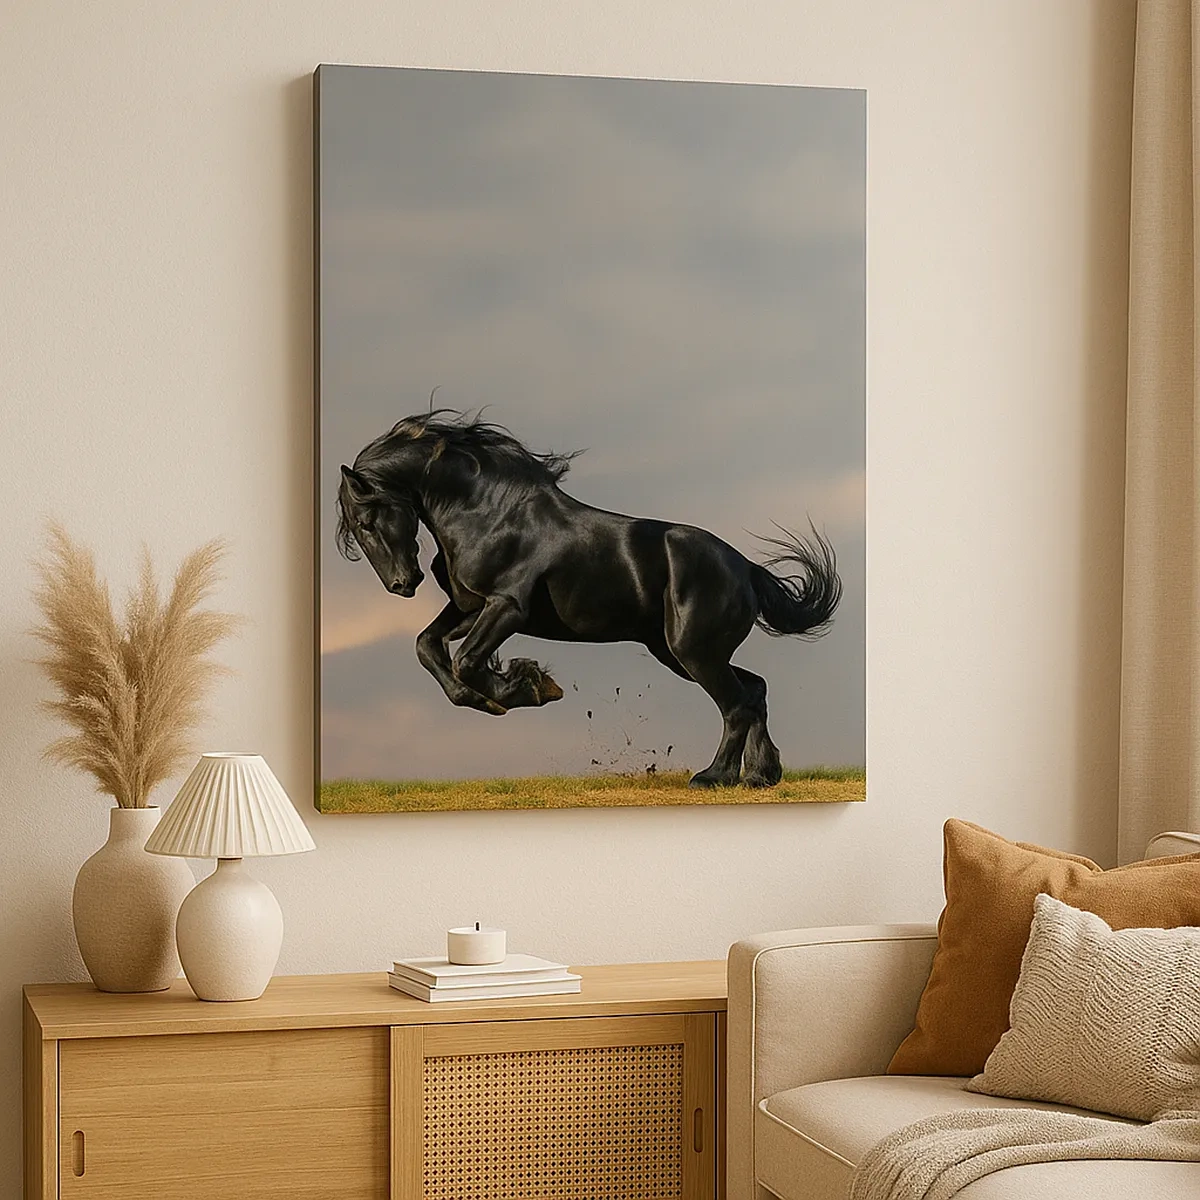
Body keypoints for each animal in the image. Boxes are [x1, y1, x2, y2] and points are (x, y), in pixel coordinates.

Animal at [335, 410, 842, 789]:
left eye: (366, 521)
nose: (403, 583)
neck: (485, 513)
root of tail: (745, 569)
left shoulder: (507, 607)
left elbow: (466, 661)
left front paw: (526, 688)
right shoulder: (469, 606)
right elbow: (428, 647)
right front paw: (506, 689)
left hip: (692, 651)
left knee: (736, 703)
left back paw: (713, 777)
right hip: (678, 652)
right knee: (754, 690)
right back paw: (760, 775)